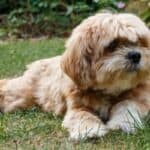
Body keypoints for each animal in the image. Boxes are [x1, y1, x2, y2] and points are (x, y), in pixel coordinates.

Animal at [0, 13, 150, 141]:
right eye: (112, 45)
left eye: (139, 42)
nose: (135, 55)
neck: (108, 90)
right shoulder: (77, 107)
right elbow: (83, 115)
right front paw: (89, 130)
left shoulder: (138, 100)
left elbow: (126, 107)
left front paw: (123, 123)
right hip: (20, 95)